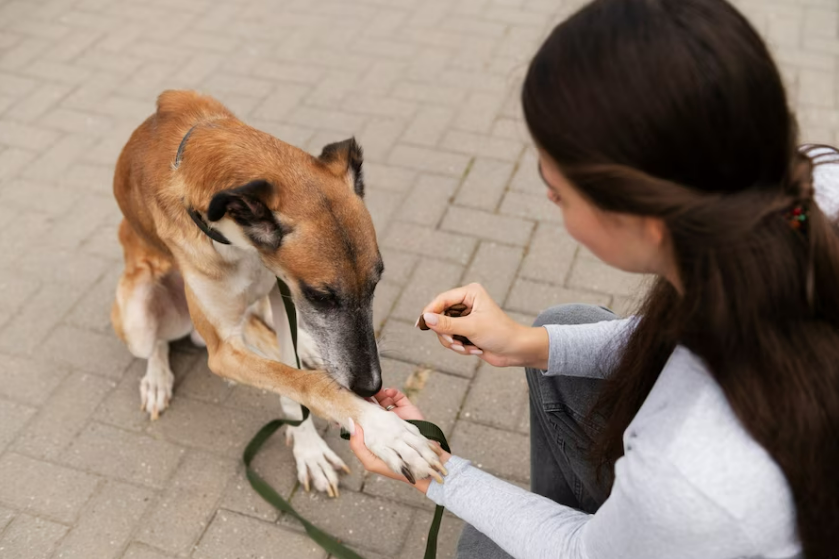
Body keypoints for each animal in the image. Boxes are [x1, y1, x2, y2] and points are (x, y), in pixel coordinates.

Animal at [110, 91, 446, 494]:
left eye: (376, 283)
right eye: (321, 296)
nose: (370, 387)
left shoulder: (280, 290)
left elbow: (292, 377)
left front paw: (309, 448)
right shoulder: (223, 350)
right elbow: (304, 382)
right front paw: (383, 429)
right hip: (137, 314)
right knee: (158, 344)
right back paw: (157, 379)